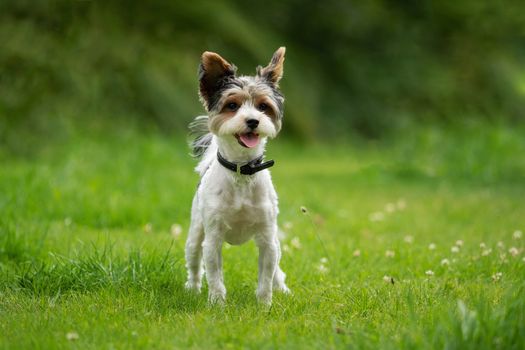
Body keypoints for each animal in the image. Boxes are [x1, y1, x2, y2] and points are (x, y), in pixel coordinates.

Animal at [185, 47, 290, 304]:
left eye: (263, 107)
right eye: (232, 105)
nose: (253, 121)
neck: (242, 170)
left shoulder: (267, 238)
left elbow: (266, 277)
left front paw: (265, 305)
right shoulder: (213, 239)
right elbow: (214, 275)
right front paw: (217, 303)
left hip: (275, 241)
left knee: (277, 269)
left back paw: (282, 288)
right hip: (195, 233)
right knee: (194, 264)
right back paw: (192, 288)